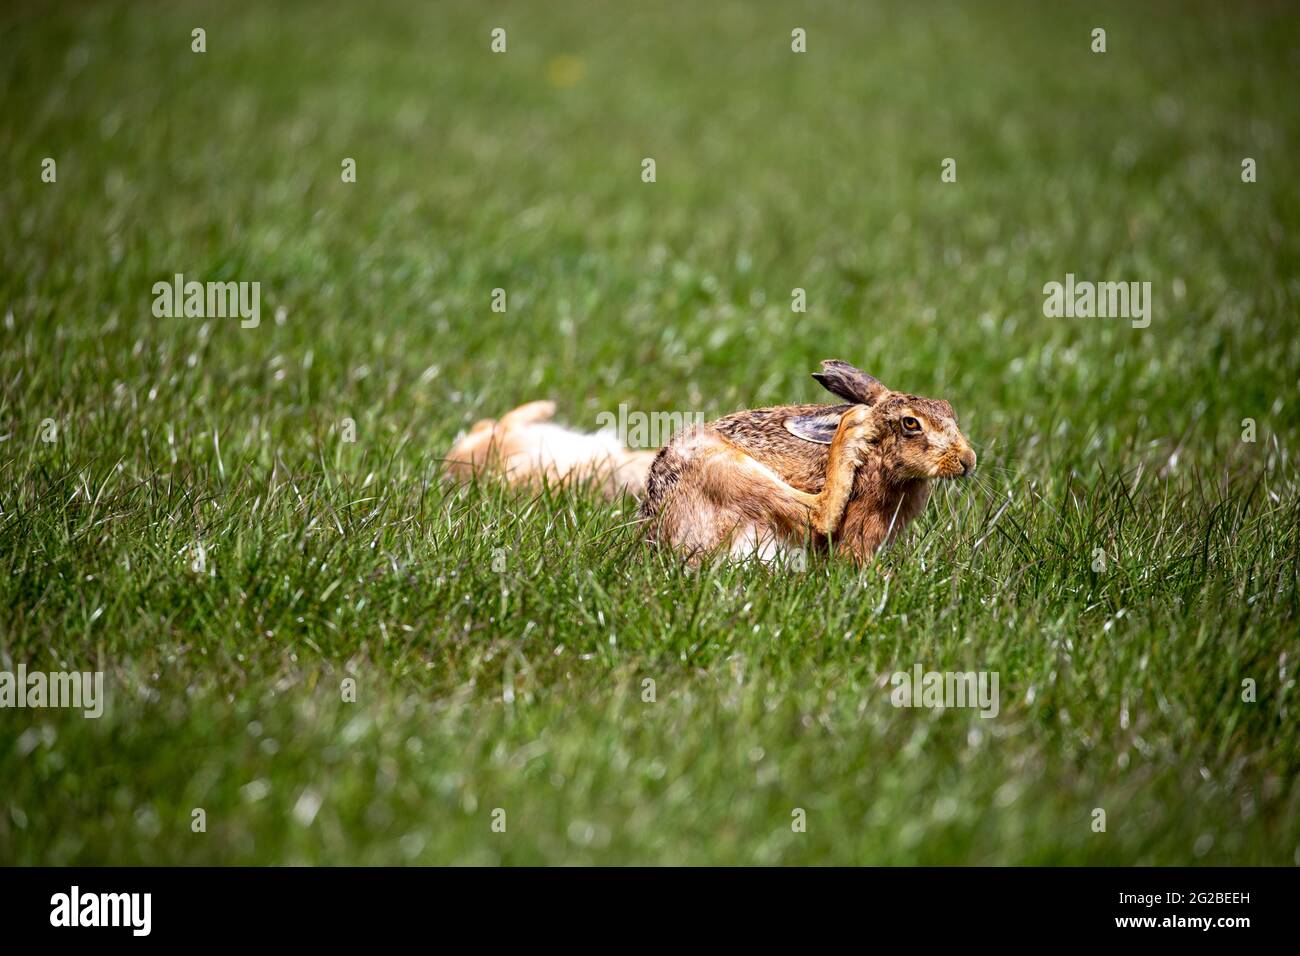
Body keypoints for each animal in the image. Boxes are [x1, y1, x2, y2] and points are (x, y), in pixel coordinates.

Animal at [639, 360, 976, 564]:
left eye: (947, 408)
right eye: (910, 423)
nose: (968, 460)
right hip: (726, 467)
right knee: (818, 514)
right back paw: (852, 430)